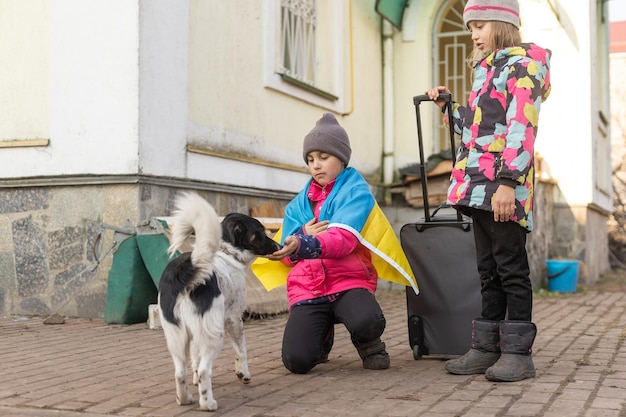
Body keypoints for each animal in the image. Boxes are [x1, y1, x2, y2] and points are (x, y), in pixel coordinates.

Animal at [158, 192, 280, 410]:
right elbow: (242, 351)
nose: (280, 246)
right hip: (214, 335)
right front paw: (243, 374)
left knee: (180, 372)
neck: (226, 251)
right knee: (205, 370)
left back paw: (185, 399)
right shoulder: (234, 319)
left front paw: (195, 381)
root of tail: (187, 270)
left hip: (176, 336)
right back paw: (208, 403)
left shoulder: (194, 334)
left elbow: (195, 359)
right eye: (260, 231)